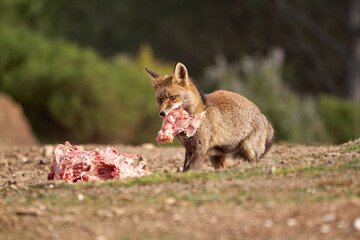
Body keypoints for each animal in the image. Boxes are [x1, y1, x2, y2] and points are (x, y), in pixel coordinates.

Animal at [145, 62, 274, 171]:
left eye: (173, 98)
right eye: (160, 100)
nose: (162, 113)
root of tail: (263, 115)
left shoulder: (200, 149)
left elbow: (189, 169)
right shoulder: (188, 148)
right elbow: (185, 168)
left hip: (248, 148)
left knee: (255, 162)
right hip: (216, 158)